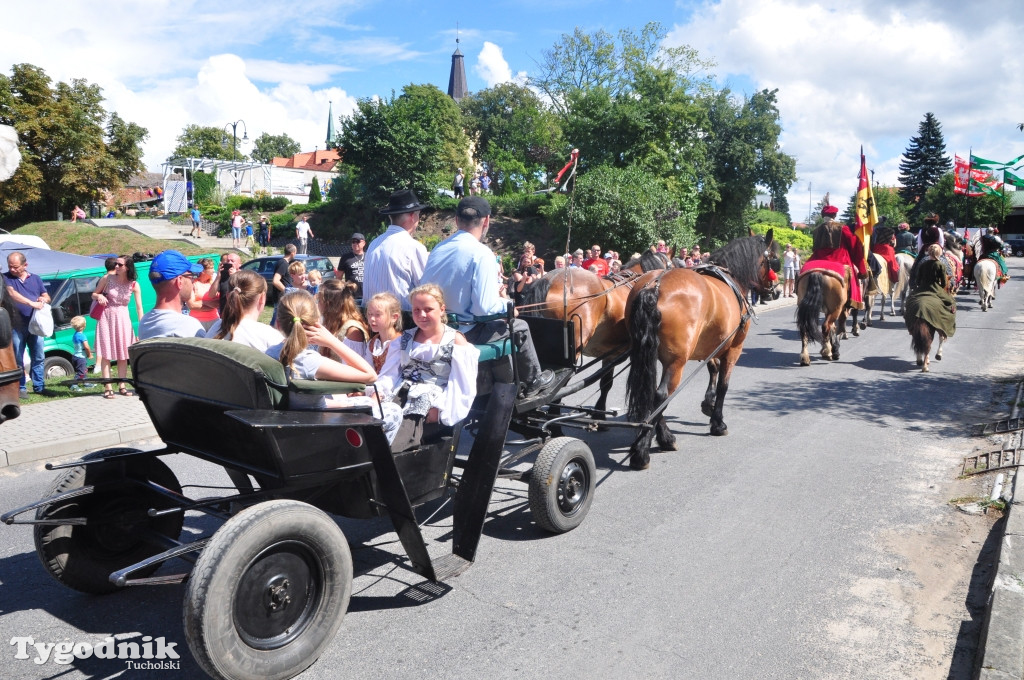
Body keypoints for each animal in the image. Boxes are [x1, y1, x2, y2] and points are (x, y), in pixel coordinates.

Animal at [622, 228, 774, 466]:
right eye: (772, 259)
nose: (773, 289)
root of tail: (654, 286)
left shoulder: (710, 345)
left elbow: (712, 369)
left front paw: (708, 404)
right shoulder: (733, 349)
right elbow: (723, 385)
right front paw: (718, 422)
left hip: (647, 355)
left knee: (650, 393)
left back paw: (661, 438)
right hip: (677, 361)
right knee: (660, 395)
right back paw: (644, 450)